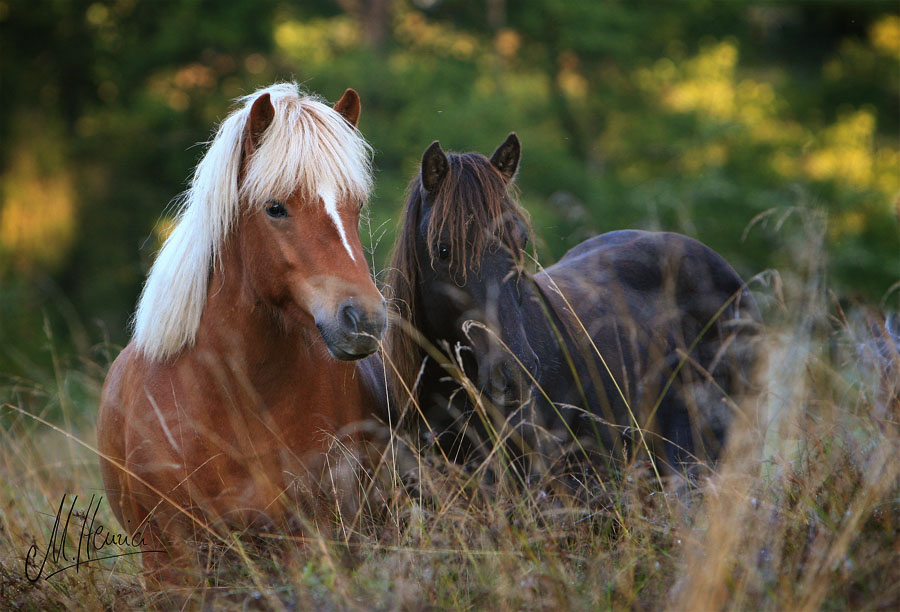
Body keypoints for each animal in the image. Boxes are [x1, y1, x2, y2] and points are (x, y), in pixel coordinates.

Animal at [98, 82, 386, 584]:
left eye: (356, 207)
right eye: (275, 208)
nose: (364, 320)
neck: (235, 402)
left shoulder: (307, 543)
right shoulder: (171, 564)